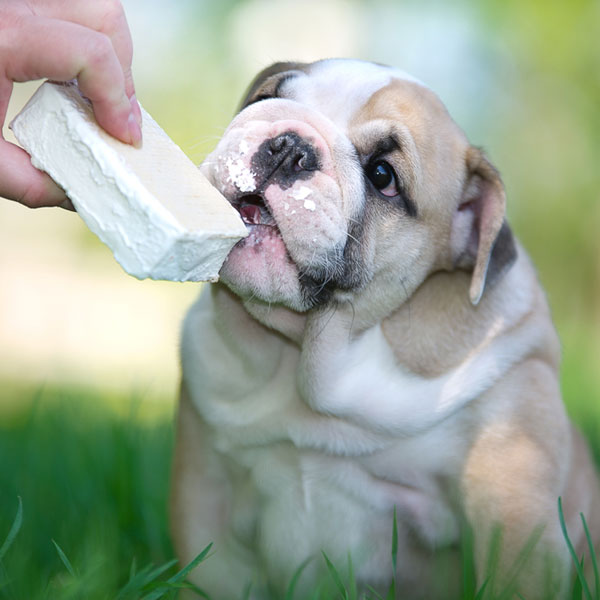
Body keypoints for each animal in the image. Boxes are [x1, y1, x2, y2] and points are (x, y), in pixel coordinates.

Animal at [170, 57, 600, 600]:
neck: (307, 358)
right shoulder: (206, 492)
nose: (289, 145)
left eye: (382, 176)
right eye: (265, 98)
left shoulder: (510, 492)